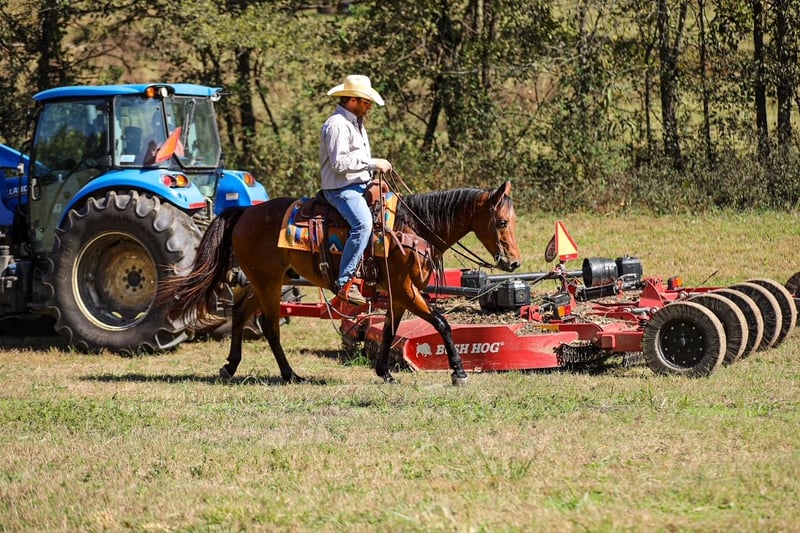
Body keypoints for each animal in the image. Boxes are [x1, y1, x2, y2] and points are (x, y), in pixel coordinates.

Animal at [159, 181, 521, 385]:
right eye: (502, 222)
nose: (514, 262)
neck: (411, 228)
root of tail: (245, 211)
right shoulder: (407, 289)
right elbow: (442, 323)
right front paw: (458, 371)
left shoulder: (399, 293)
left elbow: (389, 330)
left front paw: (384, 372)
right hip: (268, 281)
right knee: (270, 325)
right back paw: (290, 375)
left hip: (262, 280)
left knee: (240, 313)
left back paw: (230, 367)